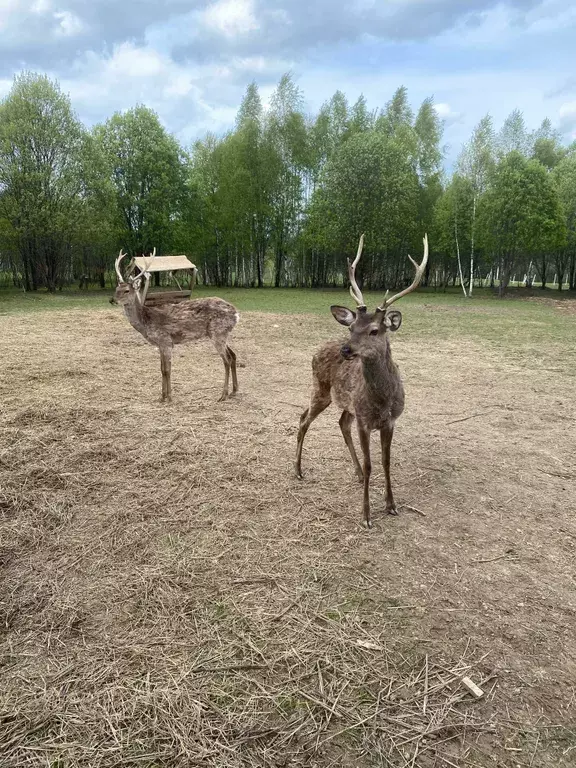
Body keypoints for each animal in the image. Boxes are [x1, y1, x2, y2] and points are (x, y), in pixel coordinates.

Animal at [113, 249, 240, 402]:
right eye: (116, 288)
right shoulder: (160, 344)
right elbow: (161, 369)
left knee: (226, 360)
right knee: (233, 355)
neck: (146, 323)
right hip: (222, 333)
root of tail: (236, 313)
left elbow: (167, 370)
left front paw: (169, 397)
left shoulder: (166, 340)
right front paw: (162, 396)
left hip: (218, 332)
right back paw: (234, 391)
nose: (112, 300)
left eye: (126, 290)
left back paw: (223, 395)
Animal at [296, 232, 428, 528]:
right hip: (320, 388)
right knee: (303, 419)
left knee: (339, 422)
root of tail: (316, 350)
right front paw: (366, 515)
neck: (382, 400)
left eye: (375, 330)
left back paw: (354, 473)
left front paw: (391, 505)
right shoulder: (365, 421)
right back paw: (297, 470)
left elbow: (386, 461)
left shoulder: (389, 421)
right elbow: (371, 464)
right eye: (352, 327)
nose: (347, 350)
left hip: (346, 404)